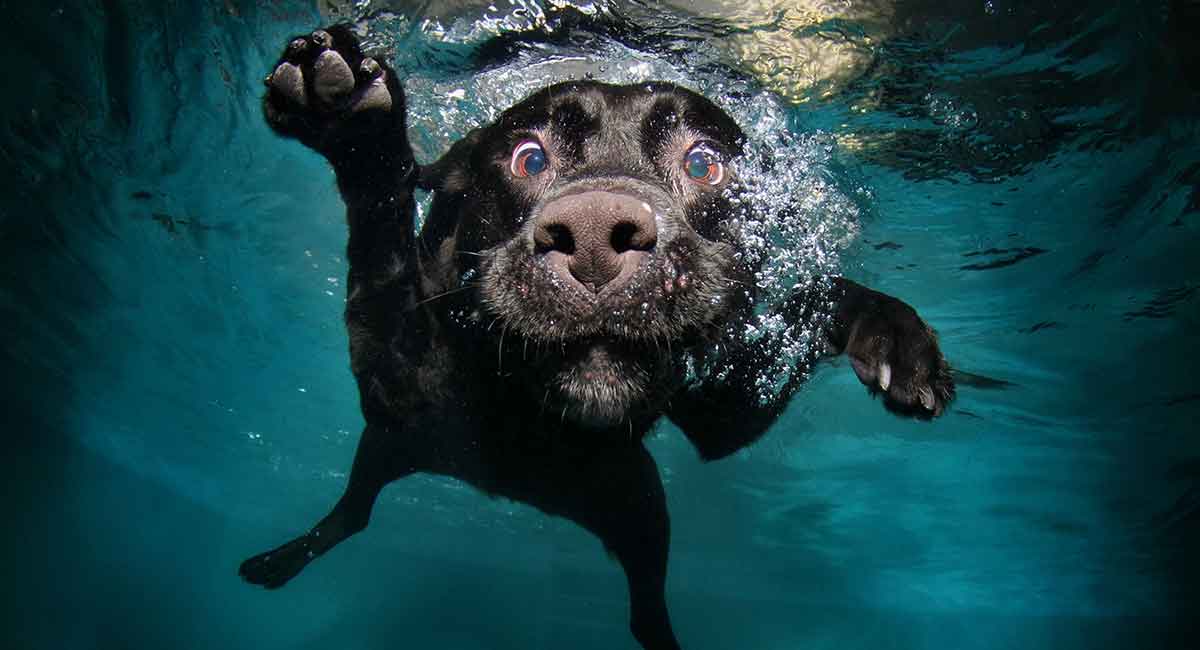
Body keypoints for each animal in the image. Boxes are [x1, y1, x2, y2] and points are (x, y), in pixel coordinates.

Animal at [241, 26, 955, 650]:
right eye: (528, 158)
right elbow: (382, 244)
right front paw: (352, 120)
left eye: (704, 163)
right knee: (354, 512)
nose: (591, 235)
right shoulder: (395, 376)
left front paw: (895, 337)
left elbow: (814, 297)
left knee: (644, 613)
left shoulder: (725, 413)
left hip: (639, 507)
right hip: (392, 448)